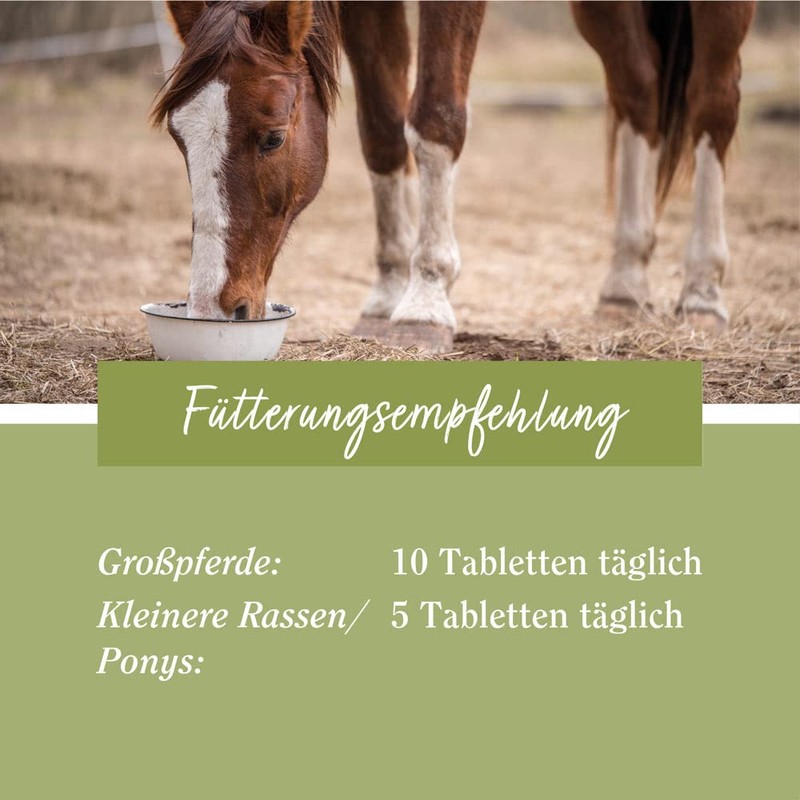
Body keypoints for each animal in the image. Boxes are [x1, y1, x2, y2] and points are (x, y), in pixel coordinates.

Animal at [151, 1, 754, 352]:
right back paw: (624, 282)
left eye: (273, 137)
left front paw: (426, 298)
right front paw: (387, 292)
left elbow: (435, 116)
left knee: (713, 99)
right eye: (179, 138)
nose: (213, 310)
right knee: (637, 86)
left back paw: (703, 291)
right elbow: (382, 127)